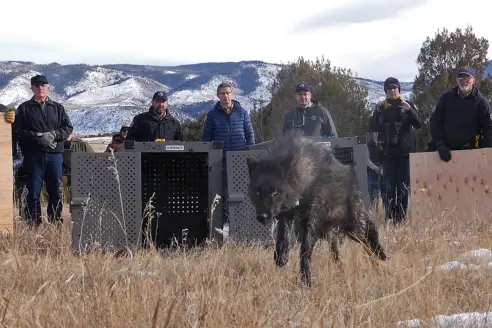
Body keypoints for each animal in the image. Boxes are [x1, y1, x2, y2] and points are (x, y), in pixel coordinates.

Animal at [248, 131, 386, 288]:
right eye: (258, 192)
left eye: (275, 192)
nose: (262, 216)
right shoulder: (287, 216)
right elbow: (282, 238)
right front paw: (281, 257)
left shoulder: (310, 221)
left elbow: (305, 251)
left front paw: (306, 281)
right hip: (332, 232)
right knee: (337, 253)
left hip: (354, 228)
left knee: (370, 234)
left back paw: (379, 258)